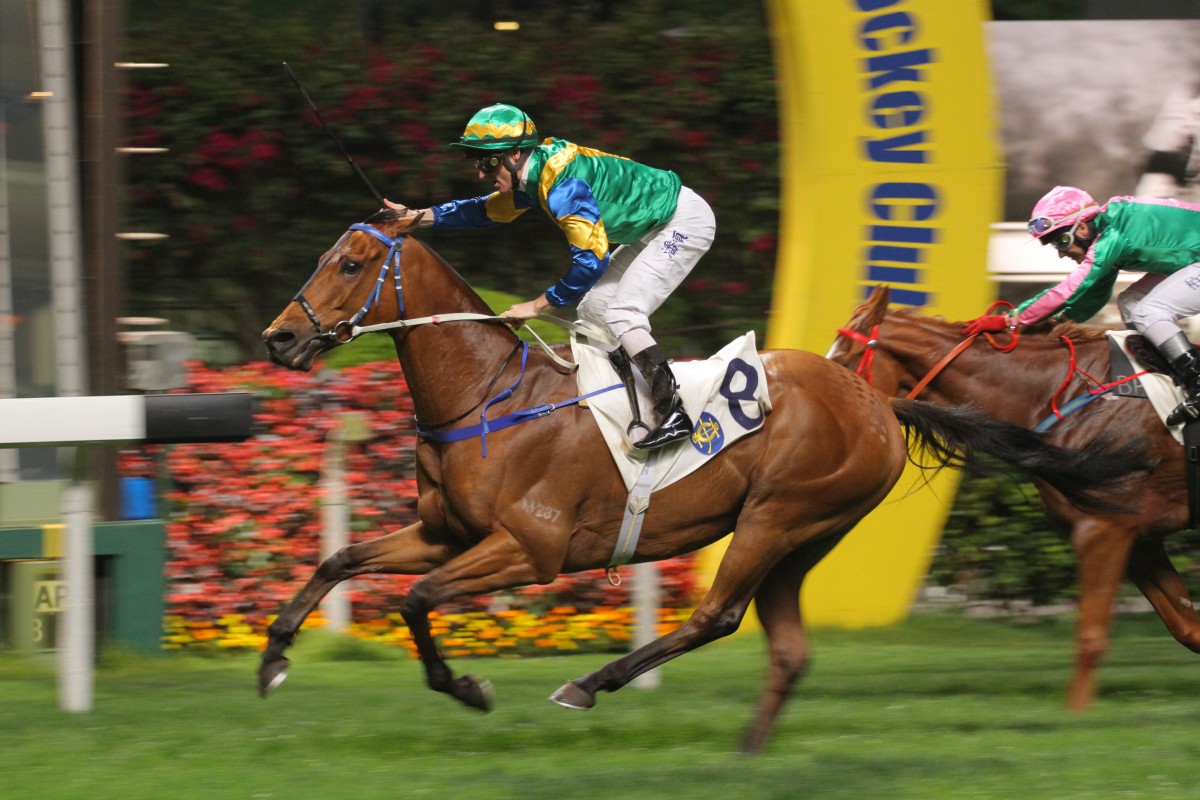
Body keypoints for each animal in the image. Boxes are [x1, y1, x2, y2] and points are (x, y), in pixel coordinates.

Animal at [258, 211, 1137, 753]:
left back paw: (592, 683)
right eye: (325, 257)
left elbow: (416, 599)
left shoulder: (529, 548)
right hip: (802, 540)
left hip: (778, 516)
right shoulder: (447, 533)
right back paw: (747, 749)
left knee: (718, 614)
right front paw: (272, 660)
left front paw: (466, 687)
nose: (280, 338)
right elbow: (341, 562)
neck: (488, 397)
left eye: (351, 263)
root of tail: (875, 399)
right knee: (786, 648)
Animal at [830, 286, 1195, 714]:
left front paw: (1075, 715)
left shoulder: (1104, 530)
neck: (1060, 395)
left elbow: (1091, 636)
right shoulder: (1139, 539)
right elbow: (1187, 627)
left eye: (844, 361)